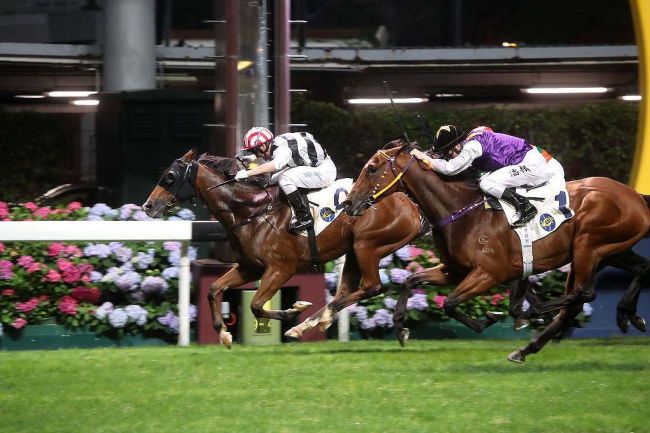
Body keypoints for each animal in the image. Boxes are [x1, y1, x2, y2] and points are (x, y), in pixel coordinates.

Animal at [142, 149, 427, 348]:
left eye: (170, 177)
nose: (148, 206)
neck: (252, 210)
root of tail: (411, 203)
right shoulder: (249, 268)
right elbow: (213, 290)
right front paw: (223, 333)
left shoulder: (281, 268)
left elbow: (257, 305)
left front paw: (293, 311)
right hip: (354, 251)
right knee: (346, 292)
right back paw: (315, 322)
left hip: (367, 245)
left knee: (372, 287)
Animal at [343, 140, 650, 362]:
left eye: (372, 168)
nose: (348, 204)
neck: (460, 211)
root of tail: (636, 196)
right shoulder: (455, 270)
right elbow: (410, 280)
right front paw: (400, 327)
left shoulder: (491, 273)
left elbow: (450, 303)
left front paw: (490, 318)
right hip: (610, 251)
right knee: (638, 270)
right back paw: (624, 315)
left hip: (589, 245)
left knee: (583, 294)